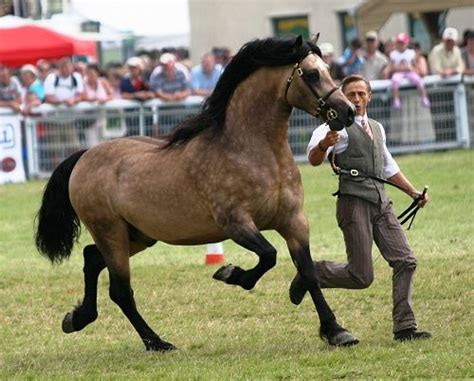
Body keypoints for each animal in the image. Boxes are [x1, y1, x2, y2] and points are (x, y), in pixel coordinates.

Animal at [35, 35, 358, 350]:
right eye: (313, 74)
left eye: (329, 69)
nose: (349, 112)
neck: (253, 152)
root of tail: (85, 156)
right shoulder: (236, 223)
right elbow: (268, 255)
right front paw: (232, 274)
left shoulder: (294, 222)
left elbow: (309, 273)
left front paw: (336, 331)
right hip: (110, 232)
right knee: (120, 290)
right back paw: (156, 342)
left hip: (138, 236)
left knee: (92, 259)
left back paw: (78, 318)